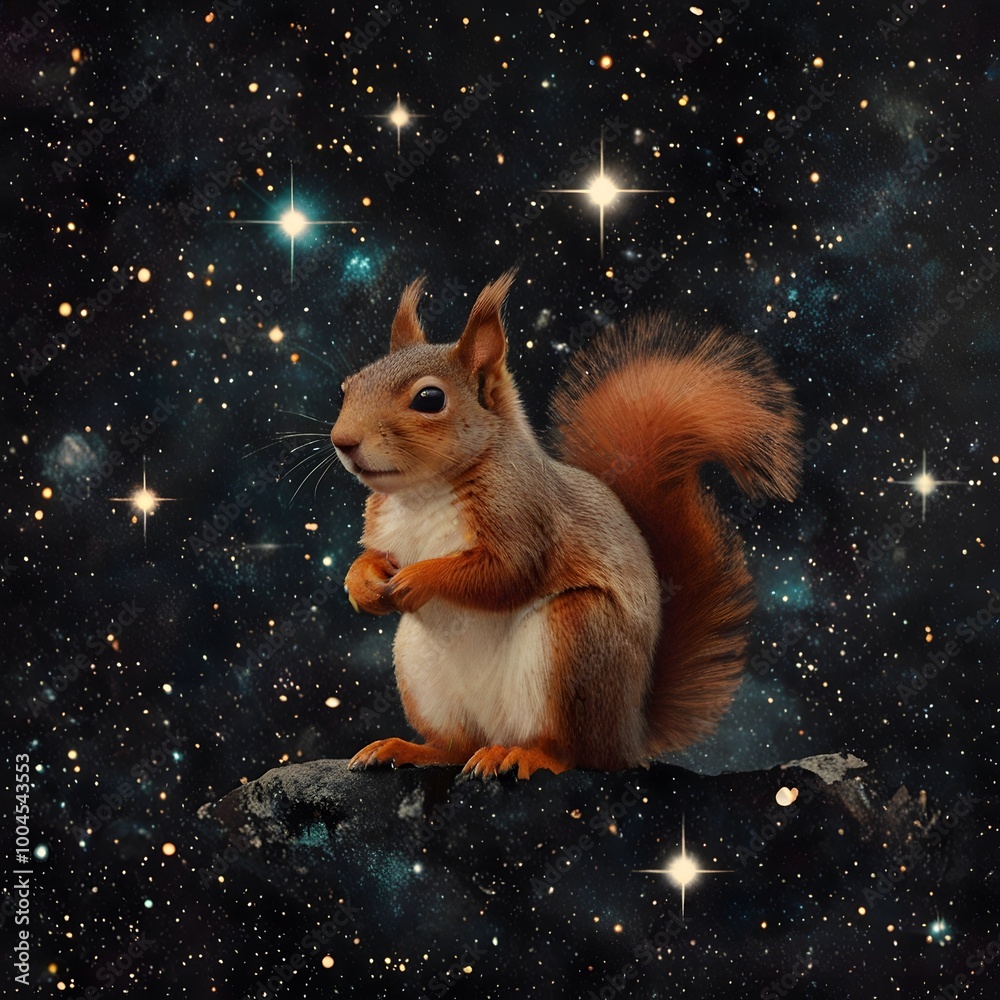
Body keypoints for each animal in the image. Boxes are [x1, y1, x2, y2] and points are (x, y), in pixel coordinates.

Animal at [332, 270, 801, 779]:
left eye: (430, 398)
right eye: (346, 387)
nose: (342, 440)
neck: (422, 491)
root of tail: (629, 734)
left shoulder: (526, 514)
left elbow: (505, 573)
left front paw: (417, 579)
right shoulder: (386, 529)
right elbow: (374, 557)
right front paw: (362, 583)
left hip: (576, 639)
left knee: (569, 753)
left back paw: (519, 755)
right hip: (421, 670)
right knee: (455, 747)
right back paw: (407, 749)